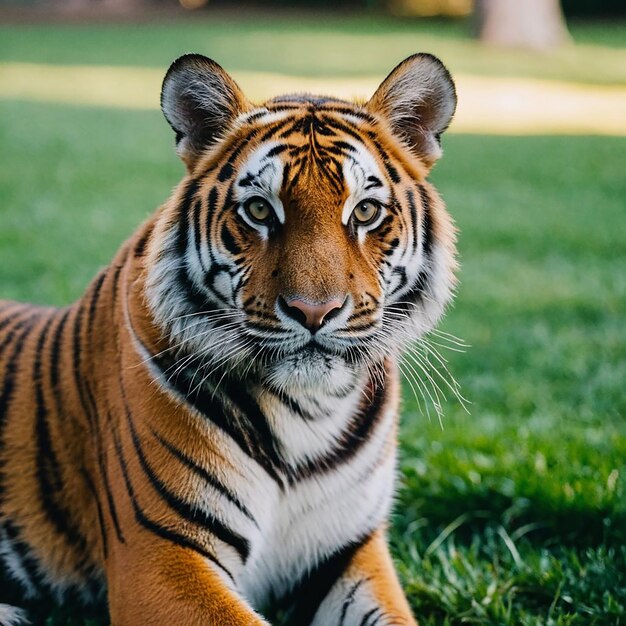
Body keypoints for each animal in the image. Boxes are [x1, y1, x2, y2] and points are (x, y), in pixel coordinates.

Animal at [0, 51, 454, 620]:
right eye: (259, 210)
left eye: (365, 211)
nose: (314, 311)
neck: (311, 410)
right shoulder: (160, 556)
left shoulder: (350, 551)